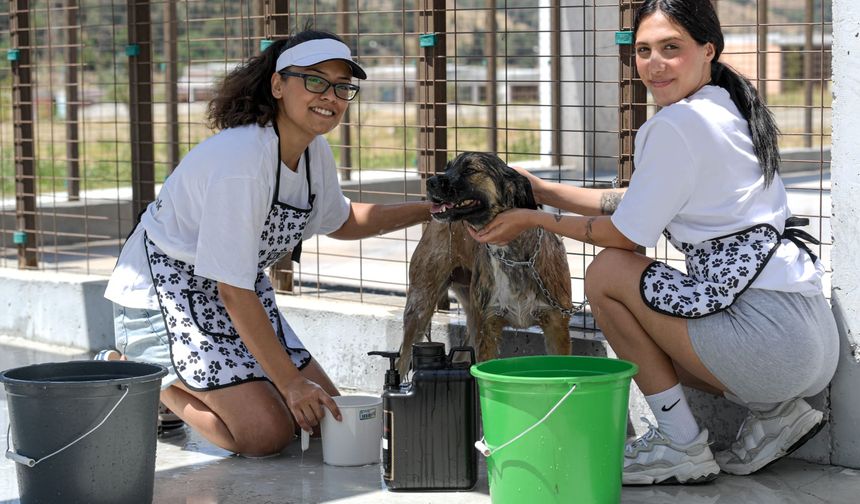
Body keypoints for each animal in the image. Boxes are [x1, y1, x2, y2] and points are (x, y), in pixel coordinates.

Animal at [402, 151, 576, 374]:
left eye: (470, 170)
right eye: (447, 167)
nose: (430, 182)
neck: (512, 257)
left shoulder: (556, 326)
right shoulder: (487, 329)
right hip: (419, 309)